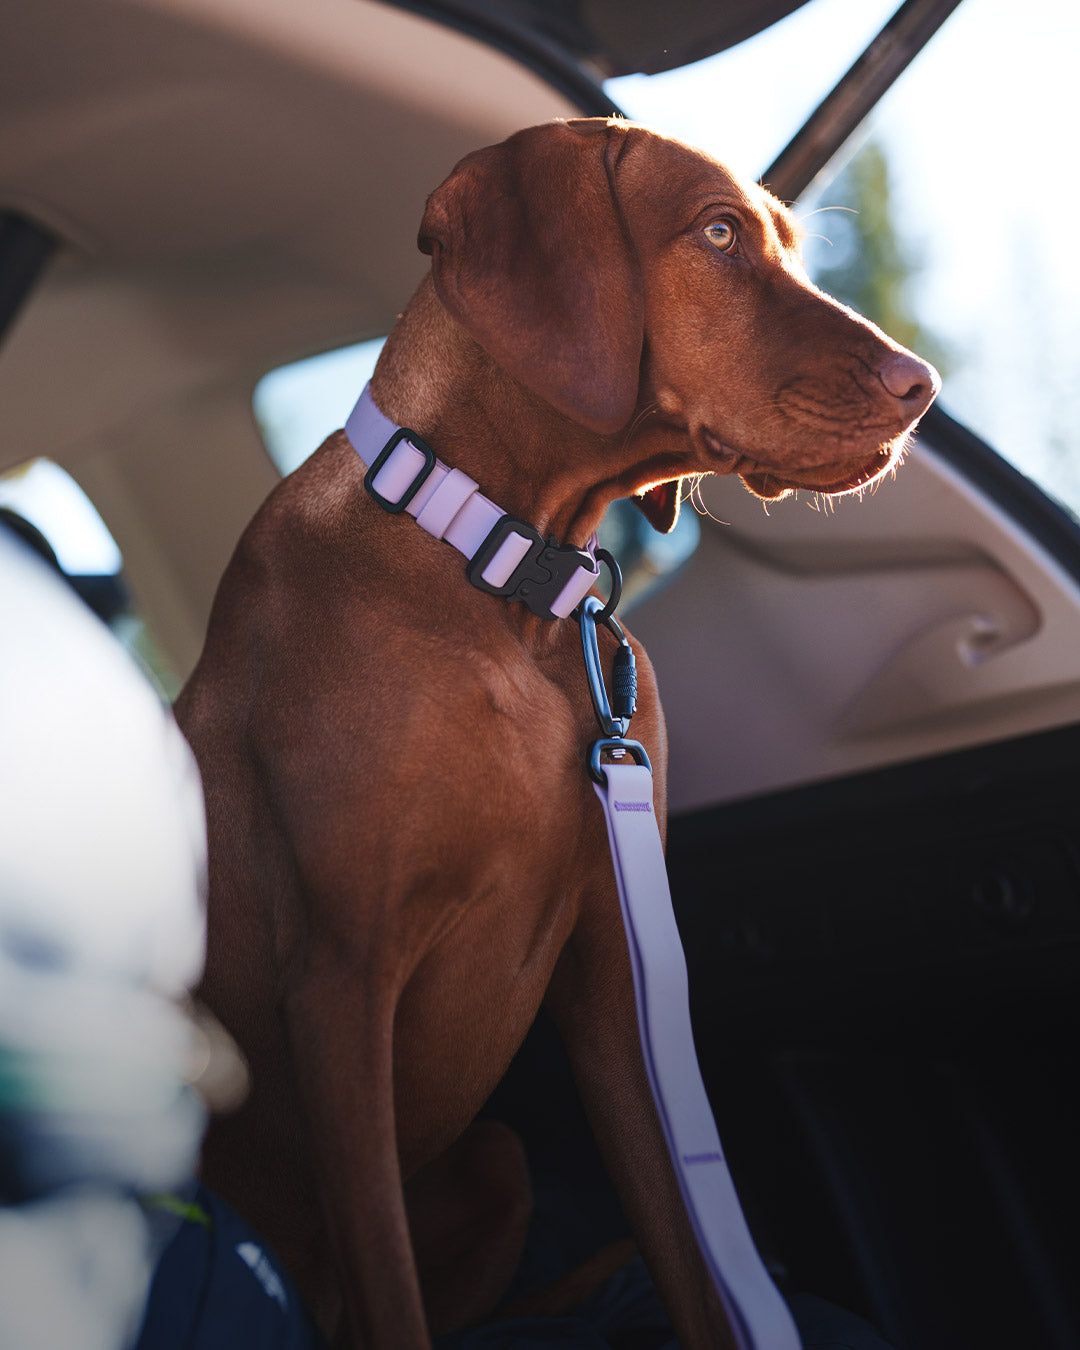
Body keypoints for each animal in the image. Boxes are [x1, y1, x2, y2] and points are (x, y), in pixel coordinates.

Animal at [175, 118, 934, 1350]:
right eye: (717, 235)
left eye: (778, 237)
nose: (924, 388)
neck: (504, 575)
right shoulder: (340, 983)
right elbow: (392, 1290)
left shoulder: (620, 978)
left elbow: (690, 1256)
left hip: (497, 1157)